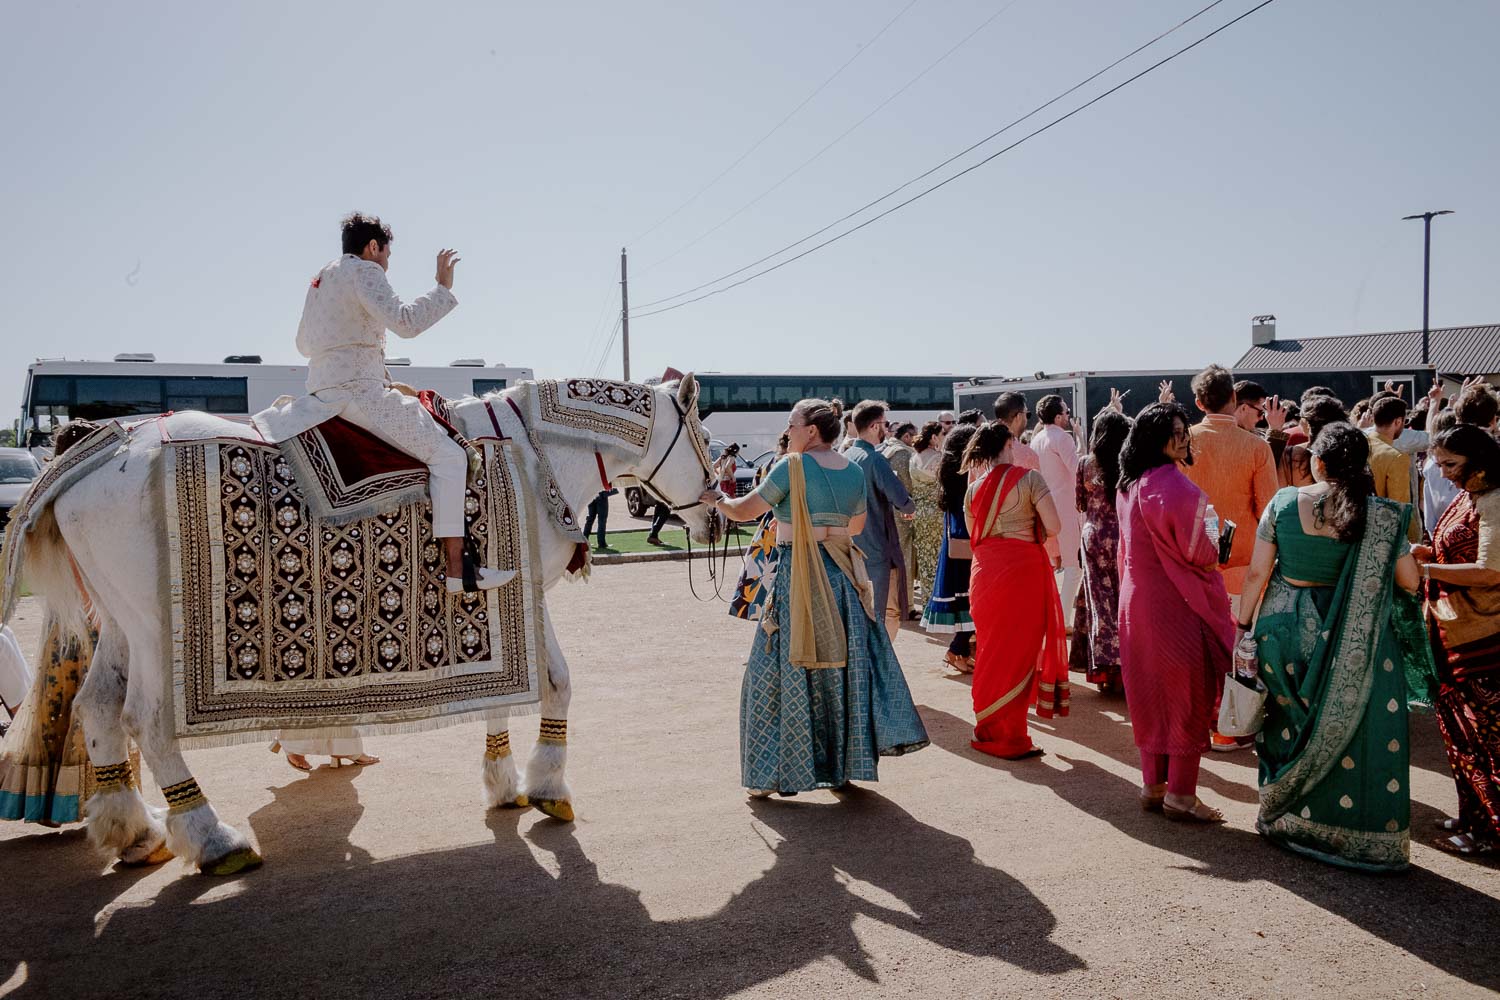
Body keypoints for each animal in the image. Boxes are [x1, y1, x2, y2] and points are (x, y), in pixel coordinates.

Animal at [10, 374, 714, 875]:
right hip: (156, 626)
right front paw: (548, 786)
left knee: (98, 705)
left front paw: (506, 784)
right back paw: (212, 840)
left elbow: (508, 686)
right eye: (705, 442)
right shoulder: (525, 589)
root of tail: (100, 445)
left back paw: (133, 831)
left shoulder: (509, 600)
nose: (716, 512)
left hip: (122, 620)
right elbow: (556, 681)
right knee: (148, 723)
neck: (531, 457)